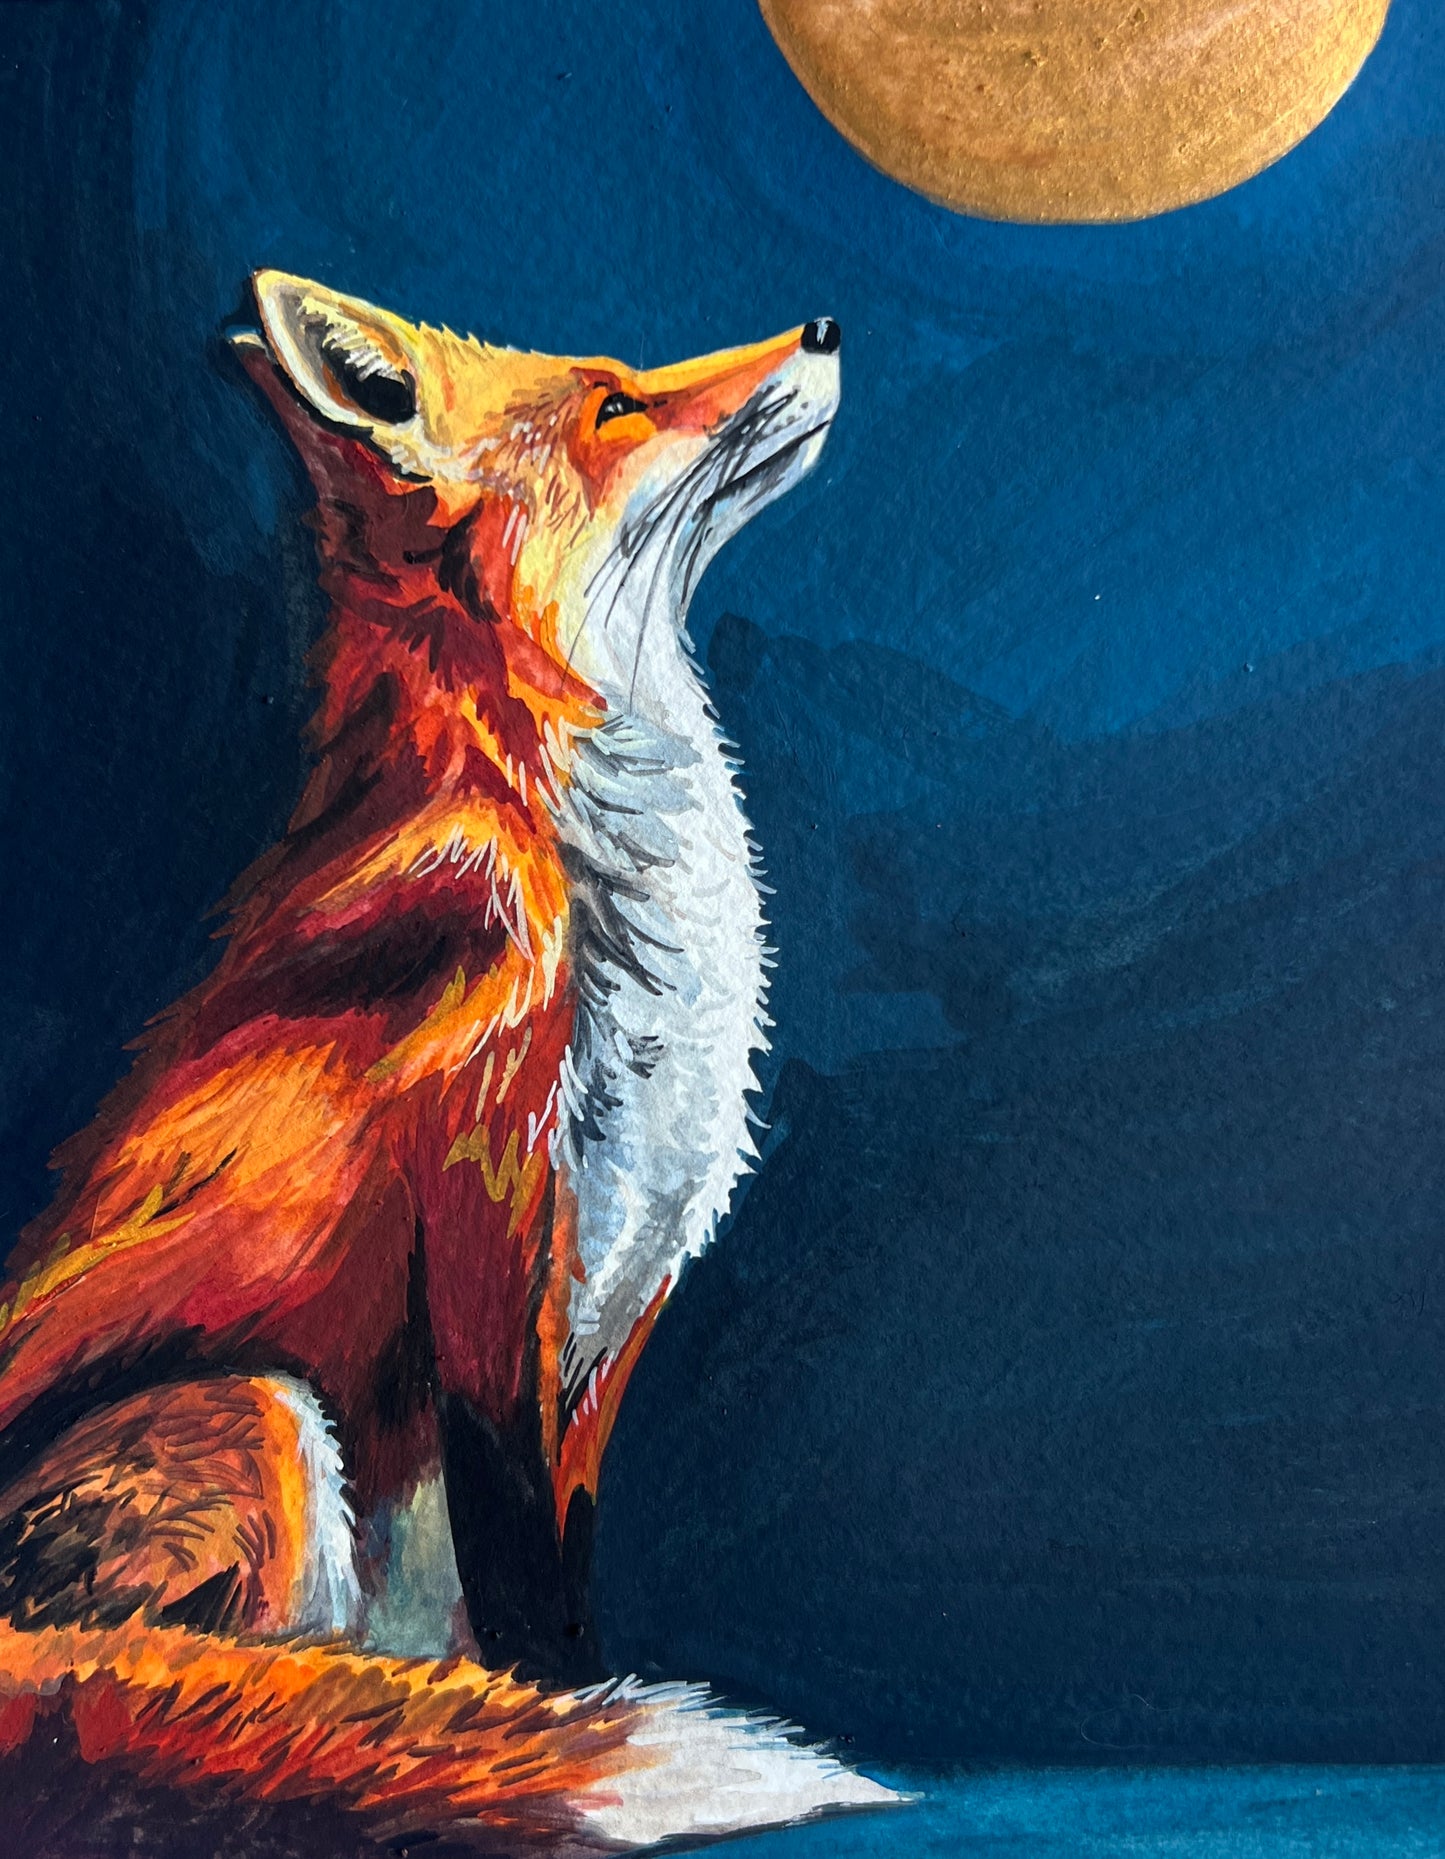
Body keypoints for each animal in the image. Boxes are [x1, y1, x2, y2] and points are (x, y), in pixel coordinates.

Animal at [0, 272, 891, 1850]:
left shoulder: (610, 1309)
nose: (829, 328)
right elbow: (527, 1591)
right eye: (615, 403)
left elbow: (562, 1581)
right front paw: (550, 1732)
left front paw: (545, 1711)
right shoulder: (493, 1259)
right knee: (193, 1670)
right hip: (267, 1416)